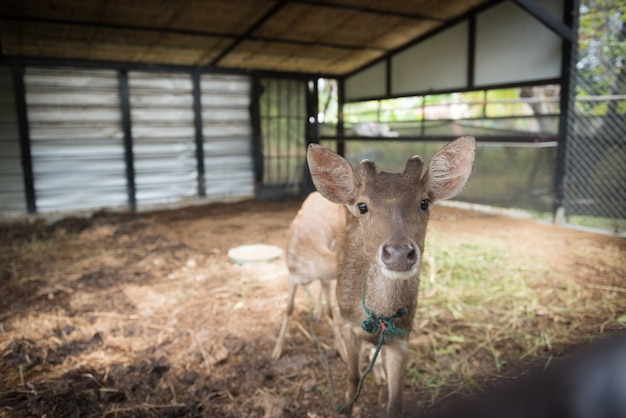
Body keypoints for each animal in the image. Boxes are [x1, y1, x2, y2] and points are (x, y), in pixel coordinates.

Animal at [306, 136, 472, 416]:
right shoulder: (349, 326)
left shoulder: (403, 338)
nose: (398, 252)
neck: (378, 315)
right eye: (363, 205)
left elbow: (396, 402)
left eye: (424, 202)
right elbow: (352, 380)